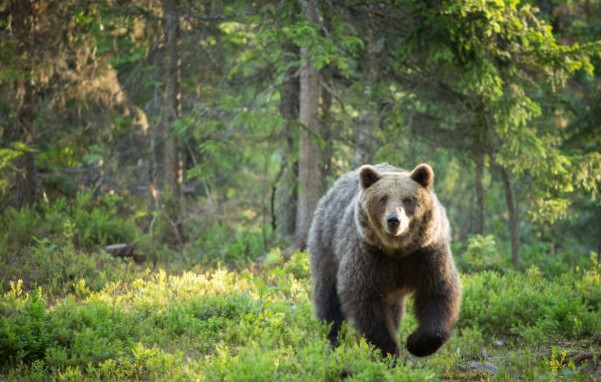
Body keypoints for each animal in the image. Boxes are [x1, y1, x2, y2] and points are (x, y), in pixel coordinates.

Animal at [308, 163, 462, 358]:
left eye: (408, 199)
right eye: (382, 199)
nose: (393, 220)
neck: (397, 250)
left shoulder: (426, 254)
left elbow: (438, 292)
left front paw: (416, 343)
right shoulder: (369, 256)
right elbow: (366, 302)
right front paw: (389, 351)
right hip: (327, 244)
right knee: (328, 297)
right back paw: (332, 338)